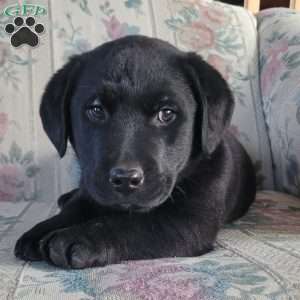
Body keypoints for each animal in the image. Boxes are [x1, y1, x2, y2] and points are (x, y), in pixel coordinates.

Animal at [14, 35, 255, 270]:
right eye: (96, 110)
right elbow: (76, 208)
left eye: (166, 113)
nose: (125, 179)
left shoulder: (190, 222)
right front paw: (41, 230)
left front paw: (76, 237)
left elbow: (132, 224)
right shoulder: (92, 188)